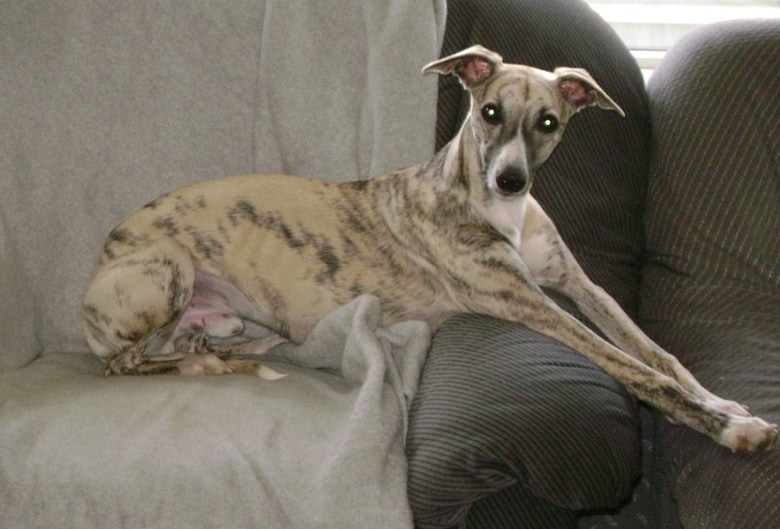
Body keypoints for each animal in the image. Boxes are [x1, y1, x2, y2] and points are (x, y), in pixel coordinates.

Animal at [82, 45, 776, 453]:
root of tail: (93, 278)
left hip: (216, 315)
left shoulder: (578, 284)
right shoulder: (529, 301)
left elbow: (656, 353)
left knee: (187, 348)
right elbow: (633, 369)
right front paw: (731, 428)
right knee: (124, 367)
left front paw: (720, 400)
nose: (511, 180)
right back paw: (205, 365)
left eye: (548, 122)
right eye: (489, 111)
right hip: (170, 266)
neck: (493, 209)